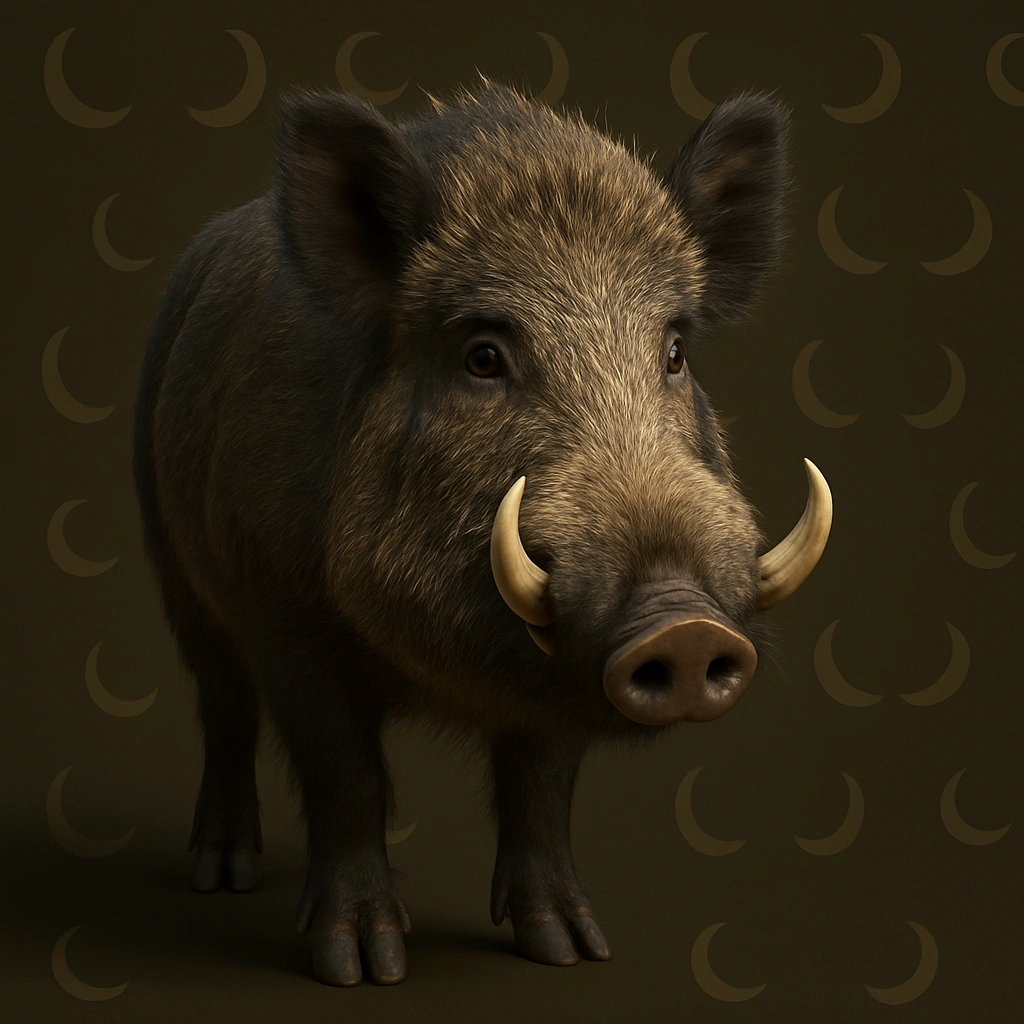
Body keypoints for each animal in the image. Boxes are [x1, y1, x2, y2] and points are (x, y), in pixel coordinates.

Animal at [132, 76, 831, 987]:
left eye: (676, 350)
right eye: (483, 356)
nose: (681, 625)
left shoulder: (561, 672)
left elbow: (541, 782)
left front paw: (573, 949)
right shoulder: (286, 616)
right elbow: (345, 774)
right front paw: (362, 968)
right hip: (174, 568)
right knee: (221, 701)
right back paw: (224, 874)